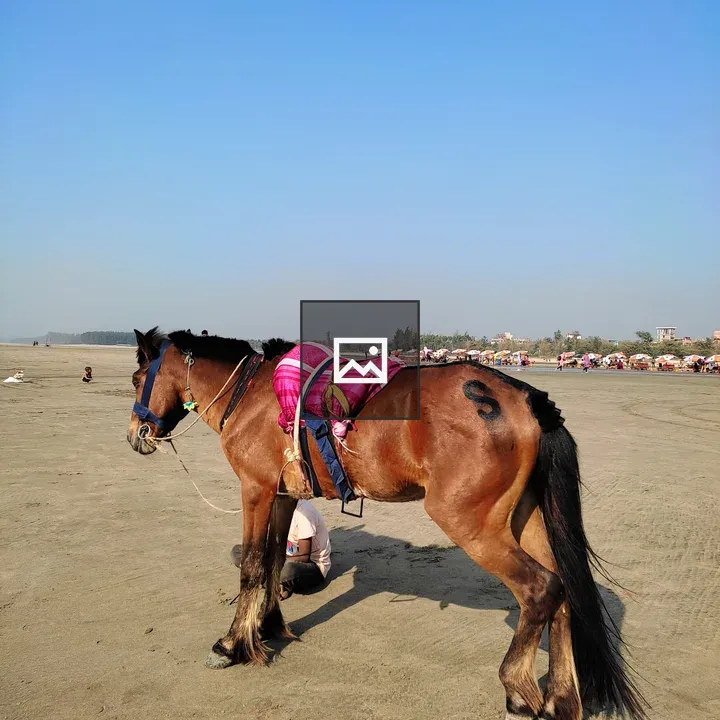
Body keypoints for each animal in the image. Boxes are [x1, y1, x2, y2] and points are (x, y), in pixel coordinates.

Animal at [126, 328, 646, 720]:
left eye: (136, 378)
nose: (135, 434)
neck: (251, 395)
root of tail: (525, 397)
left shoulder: (255, 491)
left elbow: (253, 566)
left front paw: (233, 644)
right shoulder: (282, 495)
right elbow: (274, 562)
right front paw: (269, 625)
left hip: (469, 522)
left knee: (540, 589)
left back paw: (518, 691)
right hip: (528, 520)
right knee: (563, 593)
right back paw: (560, 699)